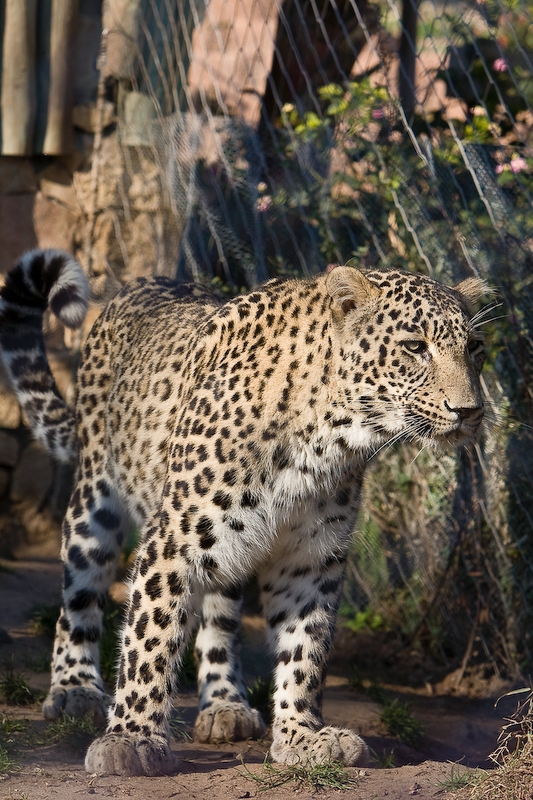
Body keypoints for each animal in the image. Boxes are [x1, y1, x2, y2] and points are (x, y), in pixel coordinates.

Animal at [0, 248, 486, 777]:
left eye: (475, 348)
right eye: (415, 347)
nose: (470, 410)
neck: (329, 439)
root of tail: (140, 284)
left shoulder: (310, 557)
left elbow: (304, 648)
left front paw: (301, 735)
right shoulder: (173, 541)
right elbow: (150, 638)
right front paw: (131, 739)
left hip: (228, 547)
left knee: (219, 618)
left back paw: (225, 704)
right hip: (96, 502)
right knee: (80, 594)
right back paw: (75, 690)